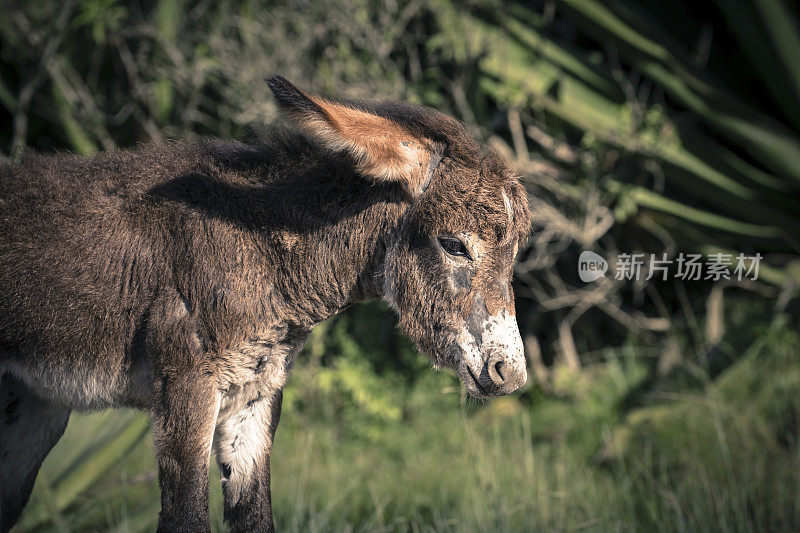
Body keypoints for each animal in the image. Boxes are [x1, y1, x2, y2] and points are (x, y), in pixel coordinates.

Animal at [3, 77, 536, 528]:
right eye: (454, 245)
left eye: (514, 252)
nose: (510, 374)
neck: (260, 252)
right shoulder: (185, 390)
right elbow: (186, 520)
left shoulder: (254, 397)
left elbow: (256, 516)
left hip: (34, 407)